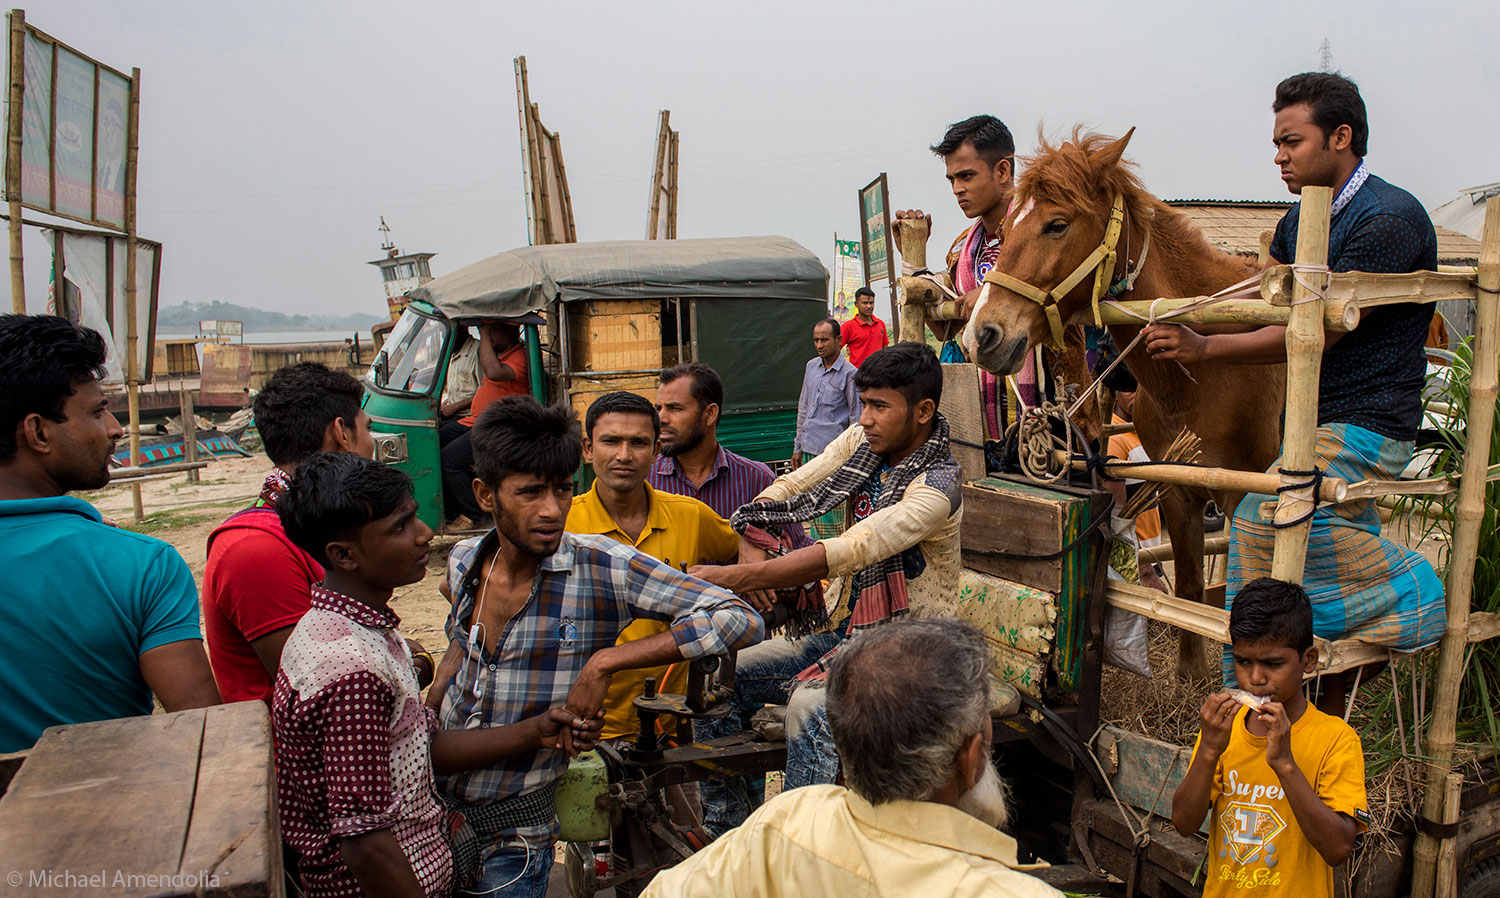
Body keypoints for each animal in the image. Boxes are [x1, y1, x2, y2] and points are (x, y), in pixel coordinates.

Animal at [966, 129, 1284, 680]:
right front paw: (1192, 675)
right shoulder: (1177, 491)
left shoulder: (1244, 499)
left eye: (1057, 224)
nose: (981, 334)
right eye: (1004, 228)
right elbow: (1191, 592)